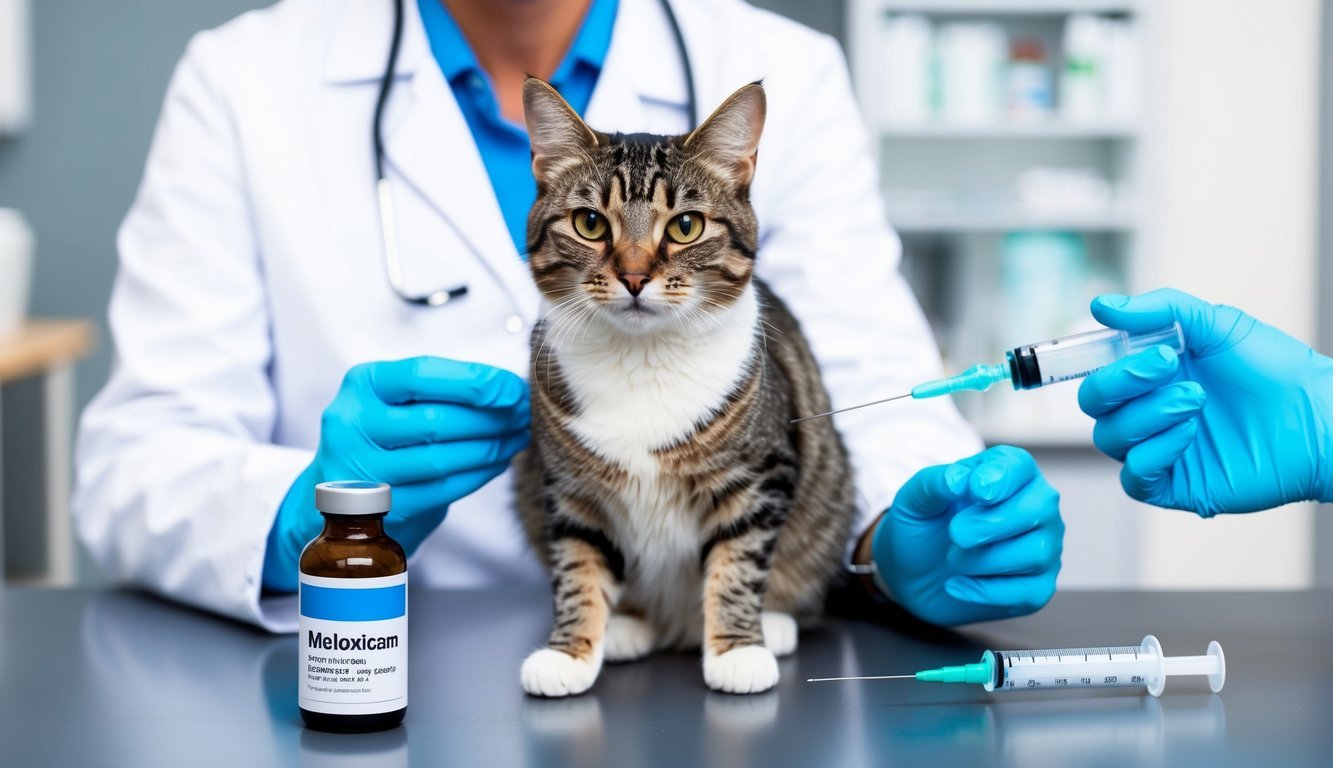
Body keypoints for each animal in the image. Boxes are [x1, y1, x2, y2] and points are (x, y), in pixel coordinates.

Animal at [514, 78, 858, 693]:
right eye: (589, 224)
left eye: (685, 226)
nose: (633, 277)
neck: (643, 357)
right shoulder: (569, 489)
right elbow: (577, 568)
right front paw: (570, 653)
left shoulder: (758, 478)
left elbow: (737, 564)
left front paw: (738, 650)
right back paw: (627, 624)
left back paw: (775, 624)